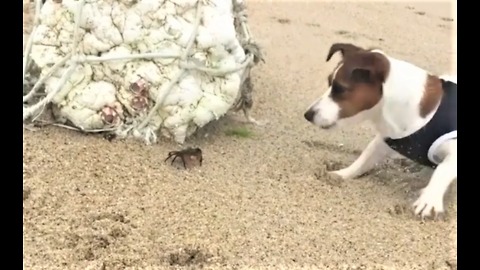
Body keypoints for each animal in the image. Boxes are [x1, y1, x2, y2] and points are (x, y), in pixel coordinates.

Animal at [304, 42, 458, 219]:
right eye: (329, 83)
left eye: (340, 88)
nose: (307, 115)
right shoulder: (384, 141)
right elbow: (364, 158)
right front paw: (344, 173)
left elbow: (442, 170)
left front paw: (429, 198)